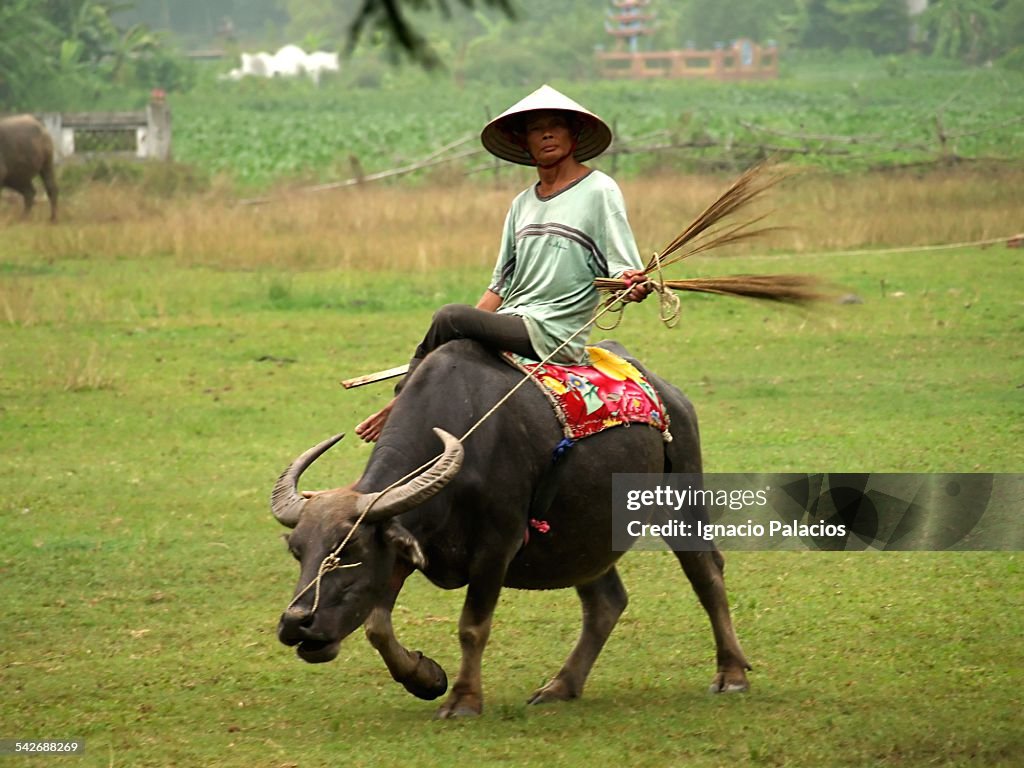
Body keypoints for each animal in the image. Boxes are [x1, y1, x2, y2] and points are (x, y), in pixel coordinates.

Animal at [272, 339, 753, 720]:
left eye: (349, 550)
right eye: (299, 551)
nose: (297, 623)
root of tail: (672, 396)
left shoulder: (496, 547)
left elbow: (472, 627)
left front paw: (463, 701)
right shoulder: (403, 548)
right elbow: (376, 625)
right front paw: (425, 677)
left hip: (681, 501)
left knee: (707, 573)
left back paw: (731, 673)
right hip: (580, 537)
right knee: (606, 602)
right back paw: (561, 686)